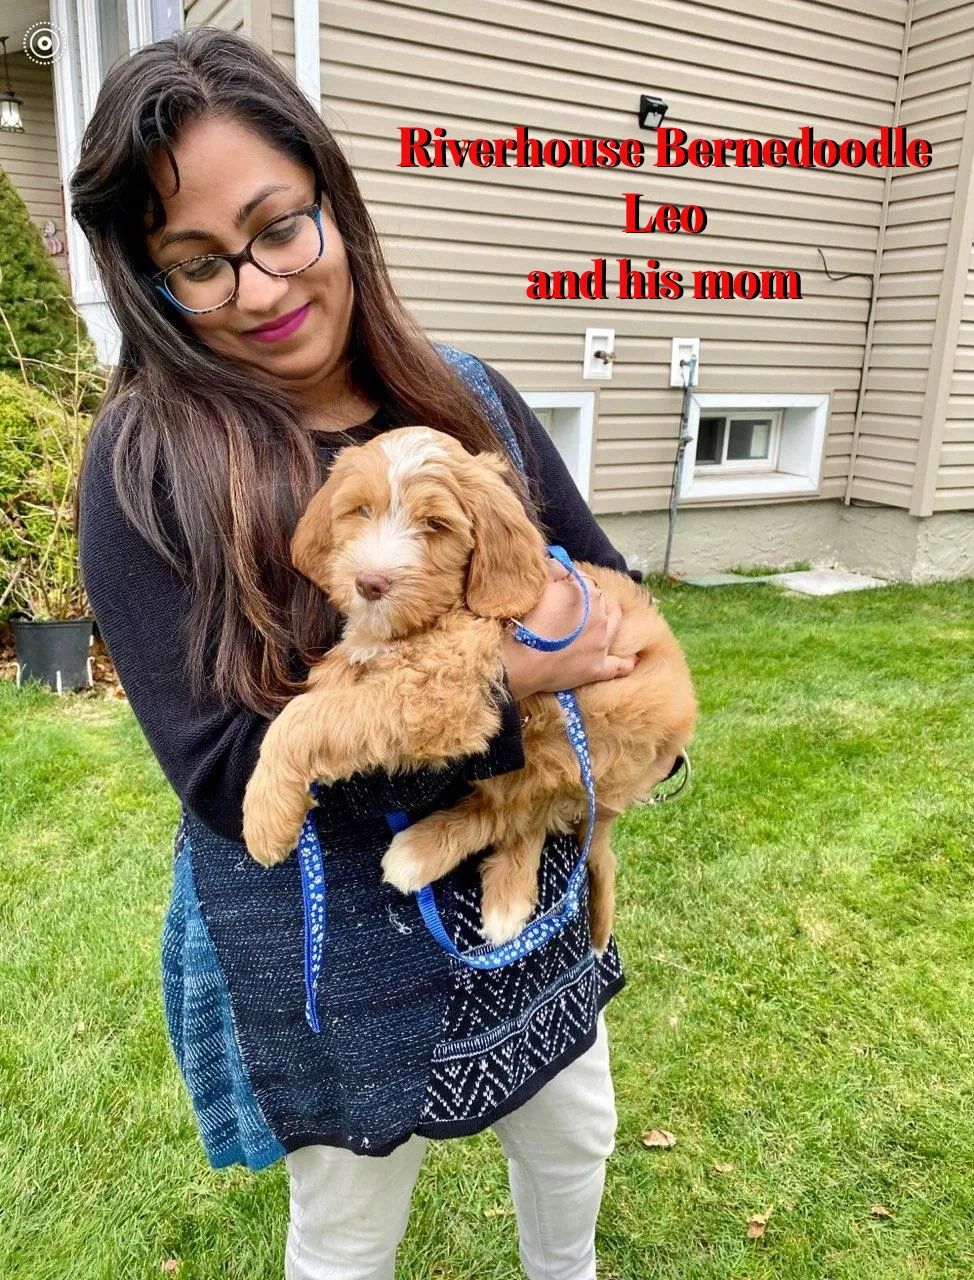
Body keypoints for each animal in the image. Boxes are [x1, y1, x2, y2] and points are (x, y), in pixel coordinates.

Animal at [244, 427, 701, 952]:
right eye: (359, 510)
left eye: (436, 524)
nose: (370, 583)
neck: (442, 613)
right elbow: (328, 689)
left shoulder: (439, 695)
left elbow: (304, 719)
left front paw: (265, 816)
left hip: (579, 742)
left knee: (520, 814)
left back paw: (460, 873)